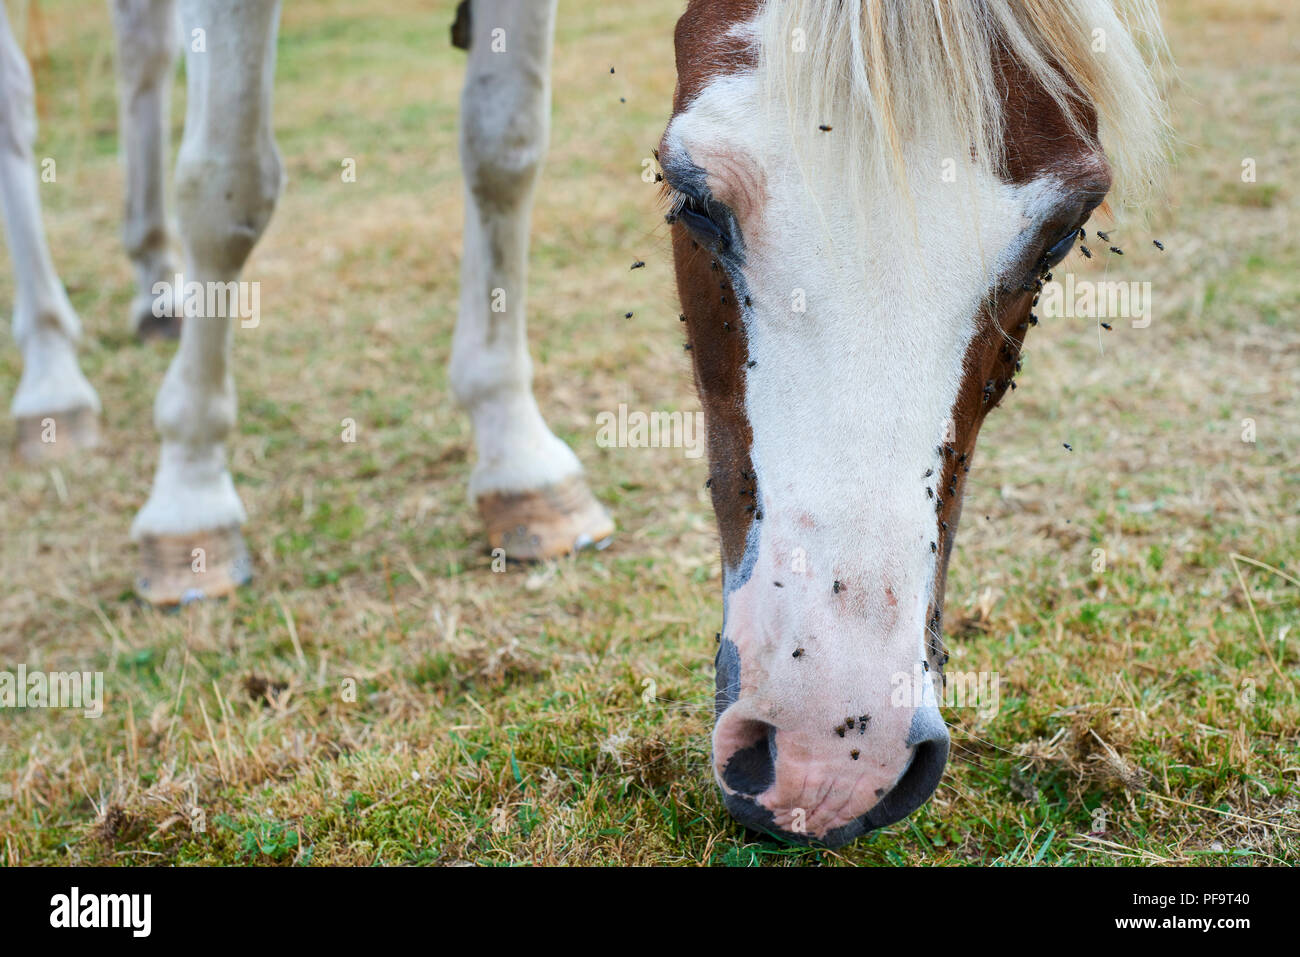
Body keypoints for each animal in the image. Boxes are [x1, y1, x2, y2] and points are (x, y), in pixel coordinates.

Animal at [2, 1, 1170, 852]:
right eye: (692, 196)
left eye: (1062, 233)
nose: (828, 760)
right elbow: (231, 185)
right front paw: (190, 502)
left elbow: (504, 144)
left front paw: (517, 466)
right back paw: (55, 384)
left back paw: (154, 286)